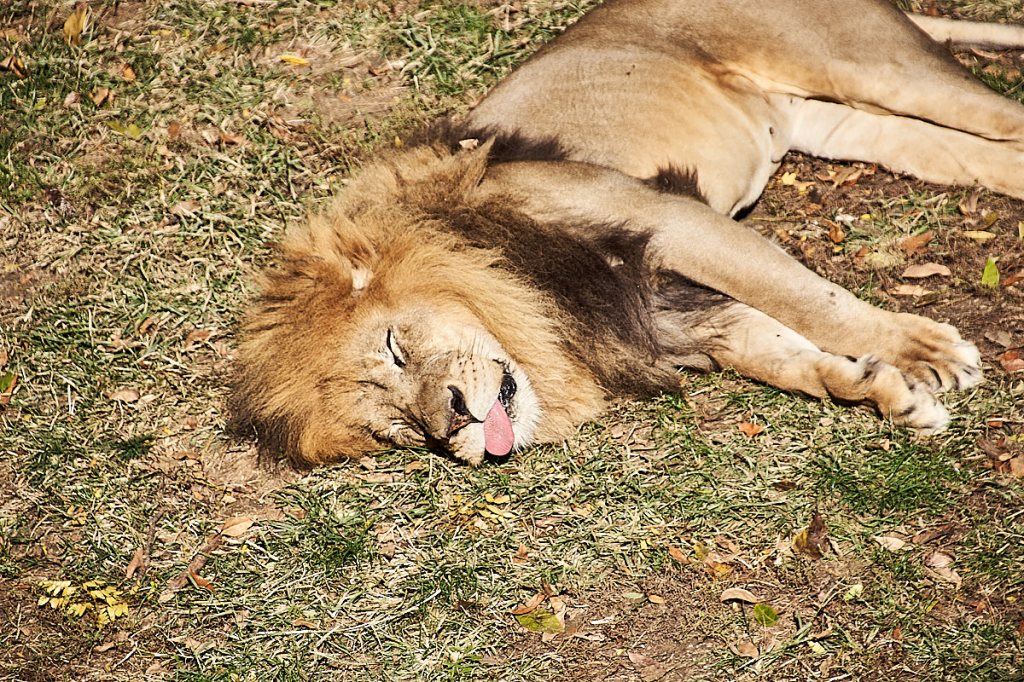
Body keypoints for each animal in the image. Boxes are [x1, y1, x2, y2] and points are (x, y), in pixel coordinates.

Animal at [233, 0, 1024, 467]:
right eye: (398, 429)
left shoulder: (666, 218)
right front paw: (887, 393)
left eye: (396, 347)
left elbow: (807, 301)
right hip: (851, 123)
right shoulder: (675, 317)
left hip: (873, 67)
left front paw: (923, 352)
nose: (454, 424)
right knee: (982, 153)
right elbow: (788, 356)